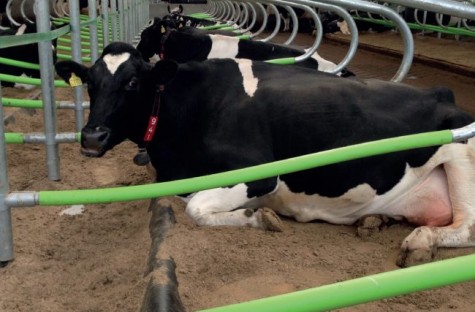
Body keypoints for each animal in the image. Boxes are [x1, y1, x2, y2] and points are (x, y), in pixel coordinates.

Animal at [54, 40, 474, 266]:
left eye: (133, 82)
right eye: (90, 82)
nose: (92, 136)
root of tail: (442, 92)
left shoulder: (258, 173)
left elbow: (196, 209)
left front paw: (257, 217)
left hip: (461, 153)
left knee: (465, 226)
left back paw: (420, 242)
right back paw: (376, 220)